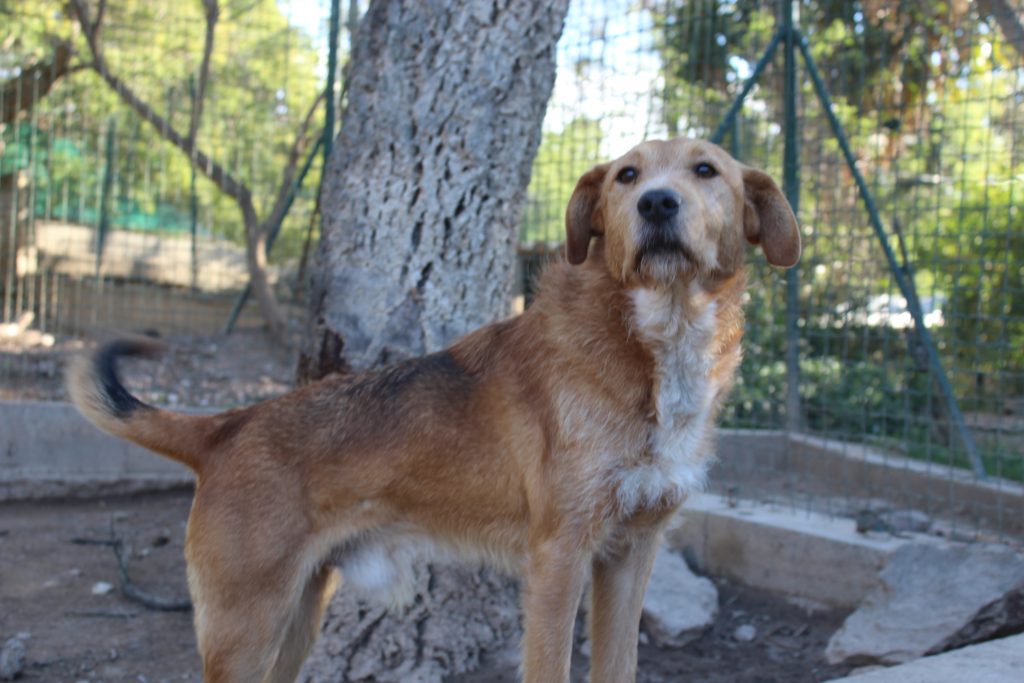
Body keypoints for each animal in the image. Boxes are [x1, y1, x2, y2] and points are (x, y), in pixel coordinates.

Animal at [70, 136, 798, 679]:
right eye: (627, 176)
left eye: (706, 170)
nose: (657, 203)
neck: (653, 345)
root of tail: (228, 425)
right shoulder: (558, 560)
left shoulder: (630, 555)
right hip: (244, 629)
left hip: (296, 618)